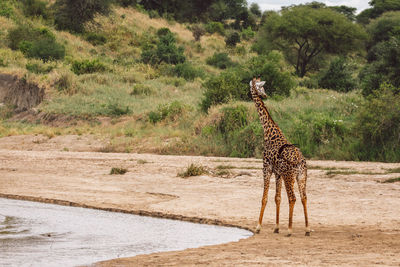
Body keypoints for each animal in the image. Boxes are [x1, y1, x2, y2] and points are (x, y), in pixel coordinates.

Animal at [250, 77, 310, 237]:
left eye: (261, 86)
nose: (264, 95)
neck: (268, 132)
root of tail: (300, 160)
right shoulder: (278, 173)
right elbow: (277, 198)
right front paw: (276, 227)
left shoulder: (266, 168)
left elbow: (264, 198)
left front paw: (258, 227)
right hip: (301, 176)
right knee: (304, 198)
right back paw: (307, 229)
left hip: (289, 176)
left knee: (293, 198)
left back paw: (289, 230)